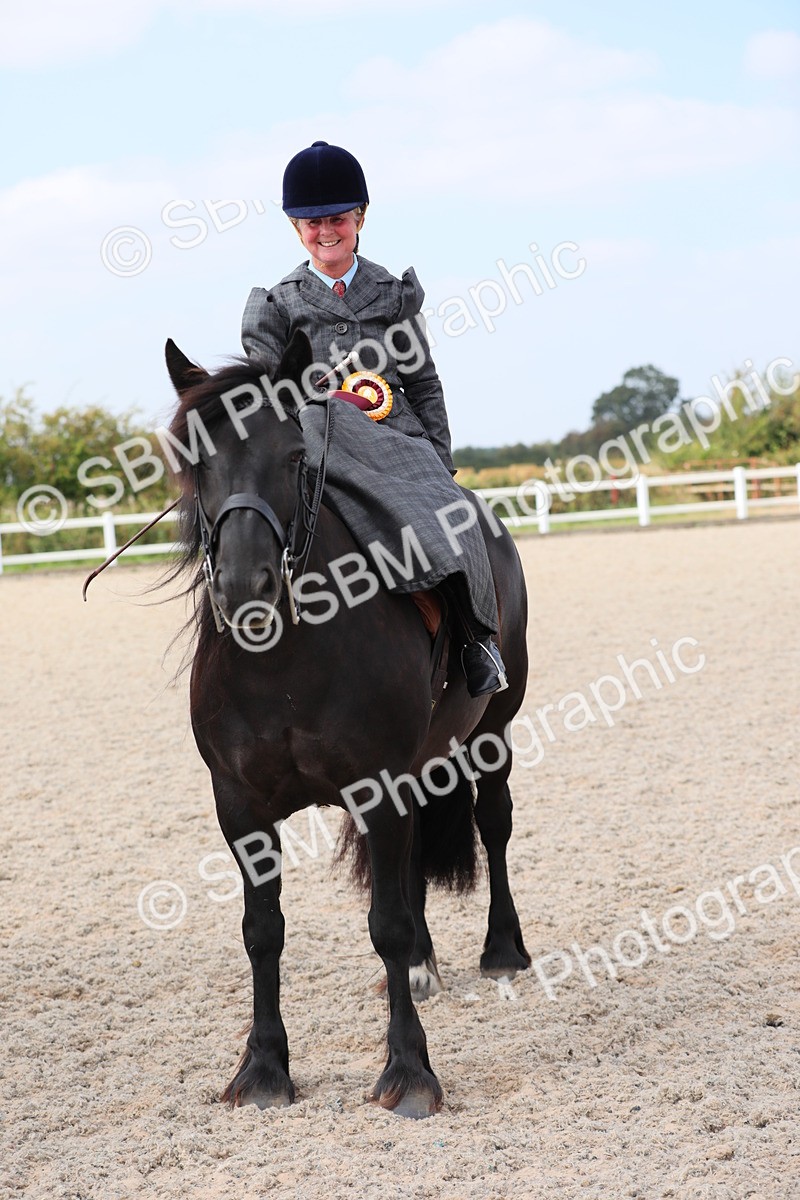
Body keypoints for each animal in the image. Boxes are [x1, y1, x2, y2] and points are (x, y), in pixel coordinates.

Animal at [164, 331, 531, 1118]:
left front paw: (410, 1072)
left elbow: (385, 925)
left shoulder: (377, 786)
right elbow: (262, 932)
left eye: (294, 456)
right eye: (198, 461)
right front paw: (263, 1069)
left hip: (492, 733)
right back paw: (426, 966)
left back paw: (503, 950)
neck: (283, 663)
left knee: (493, 823)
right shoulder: (239, 805)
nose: (245, 586)